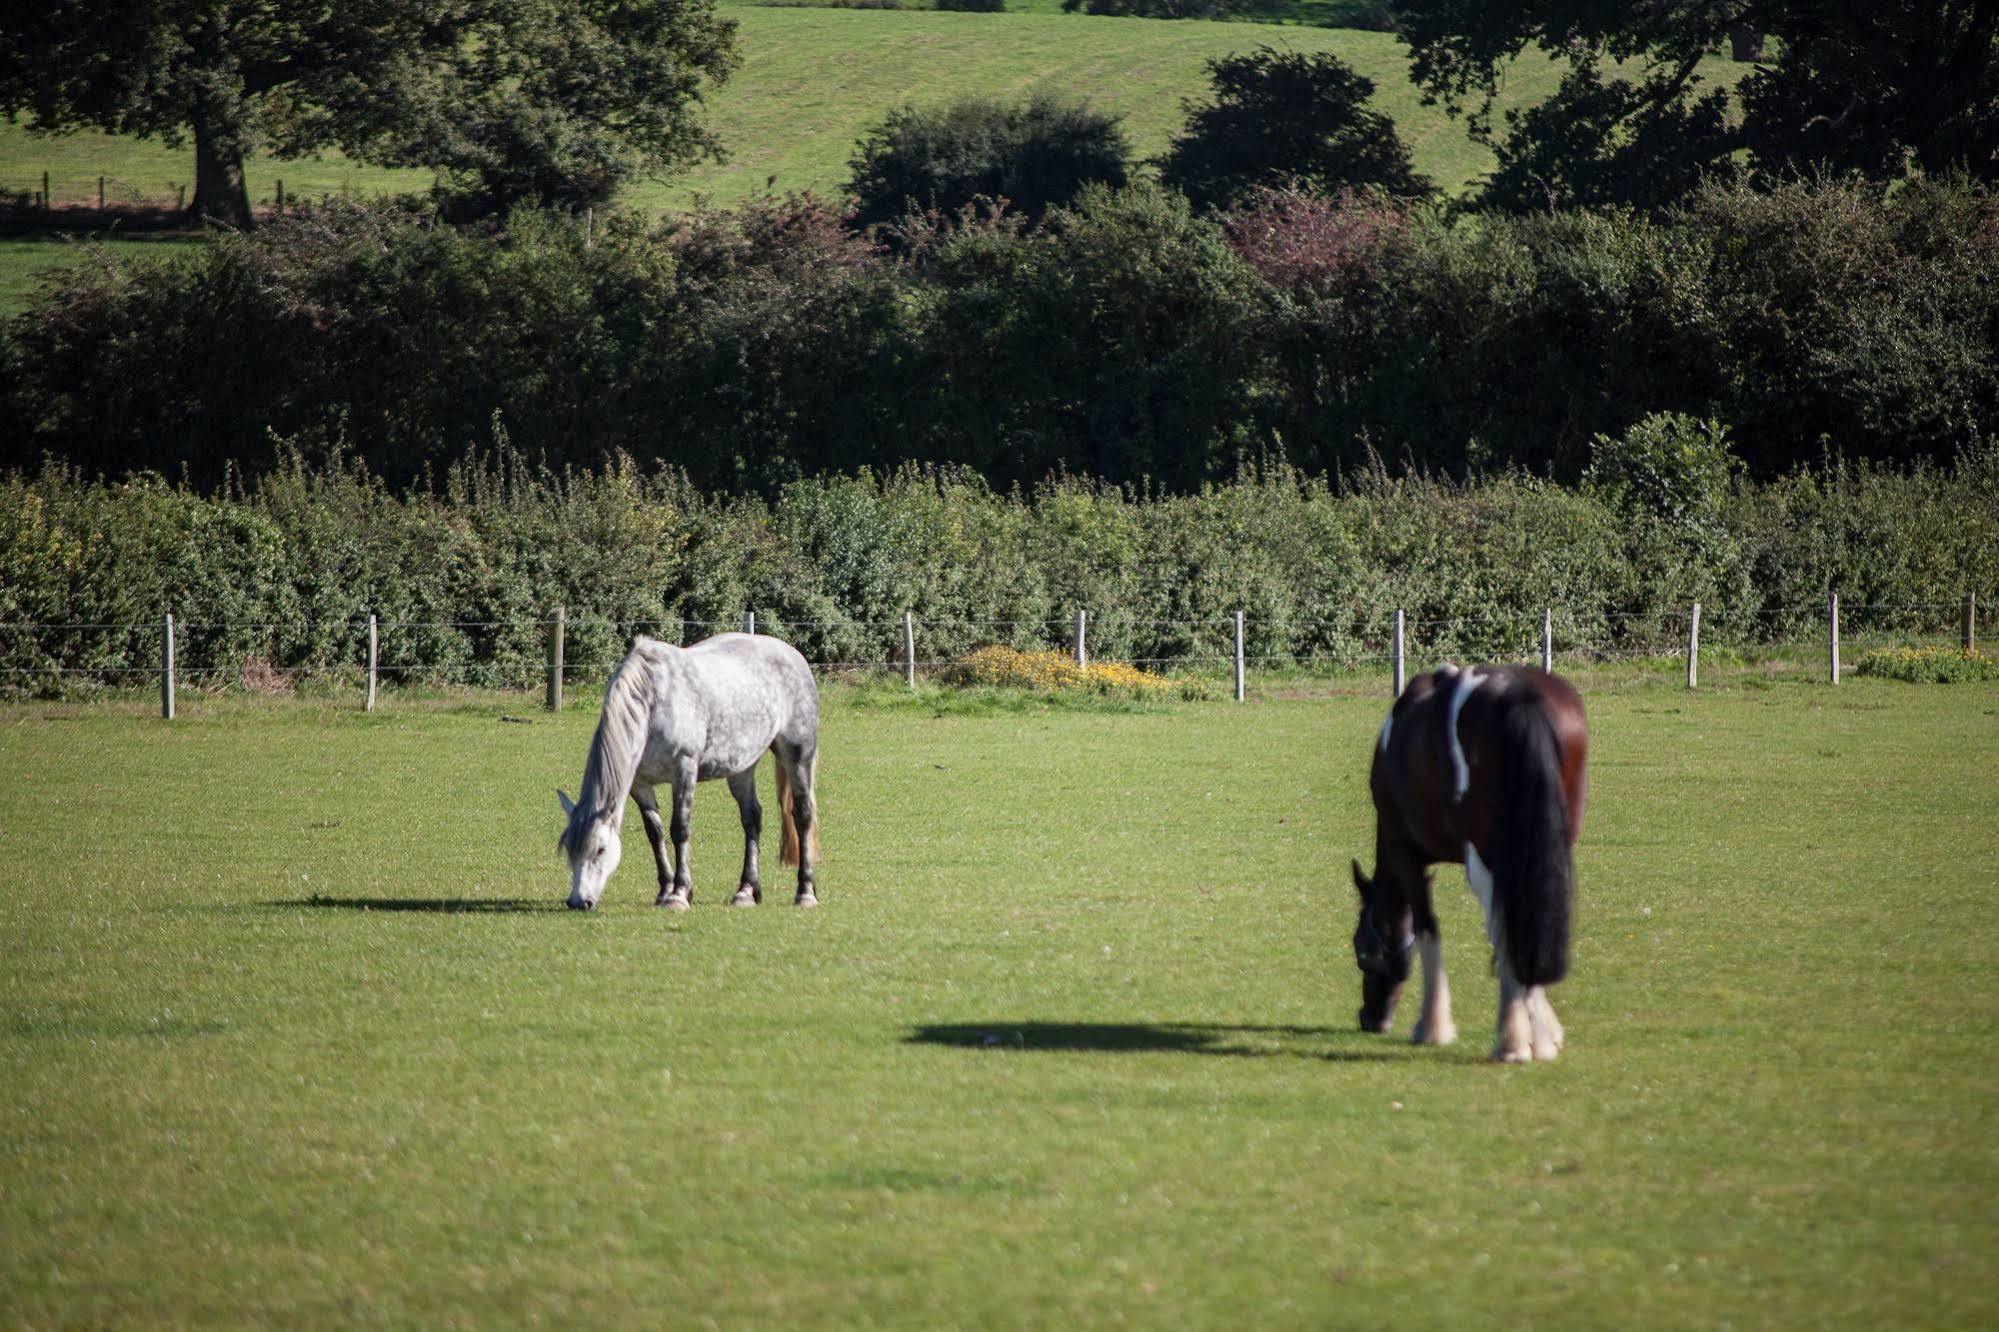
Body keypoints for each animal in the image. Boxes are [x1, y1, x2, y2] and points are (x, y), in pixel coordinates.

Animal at [555, 632, 819, 904]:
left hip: (798, 756)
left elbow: (679, 829)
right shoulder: (639, 783)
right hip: (741, 768)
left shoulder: (684, 769)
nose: (578, 901)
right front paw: (665, 889)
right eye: (569, 850)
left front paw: (680, 893)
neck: (653, 703)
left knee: (803, 815)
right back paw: (746, 890)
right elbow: (655, 832)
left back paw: (805, 891)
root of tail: (794, 656)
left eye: (600, 849)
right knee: (752, 818)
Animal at [1351, 660, 1583, 1056]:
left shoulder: (1406, 855)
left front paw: (1432, 1026)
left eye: (1360, 951)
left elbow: (1427, 927)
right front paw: (1546, 1031)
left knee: (1504, 925)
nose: (1369, 1018)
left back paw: (1512, 1041)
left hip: (1486, 860)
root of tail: (1517, 695)